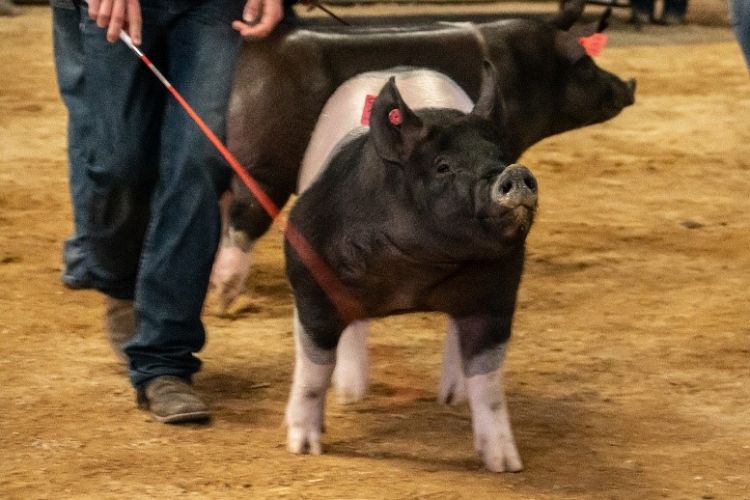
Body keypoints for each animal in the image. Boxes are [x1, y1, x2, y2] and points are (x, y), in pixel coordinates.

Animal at [283, 62, 537, 472]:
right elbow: (313, 370)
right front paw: (305, 448)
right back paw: (352, 392)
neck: (414, 272)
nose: (513, 173)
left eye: (501, 155)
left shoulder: (497, 296)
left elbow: (488, 382)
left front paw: (505, 464)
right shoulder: (311, 281)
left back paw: (452, 397)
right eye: (443, 166)